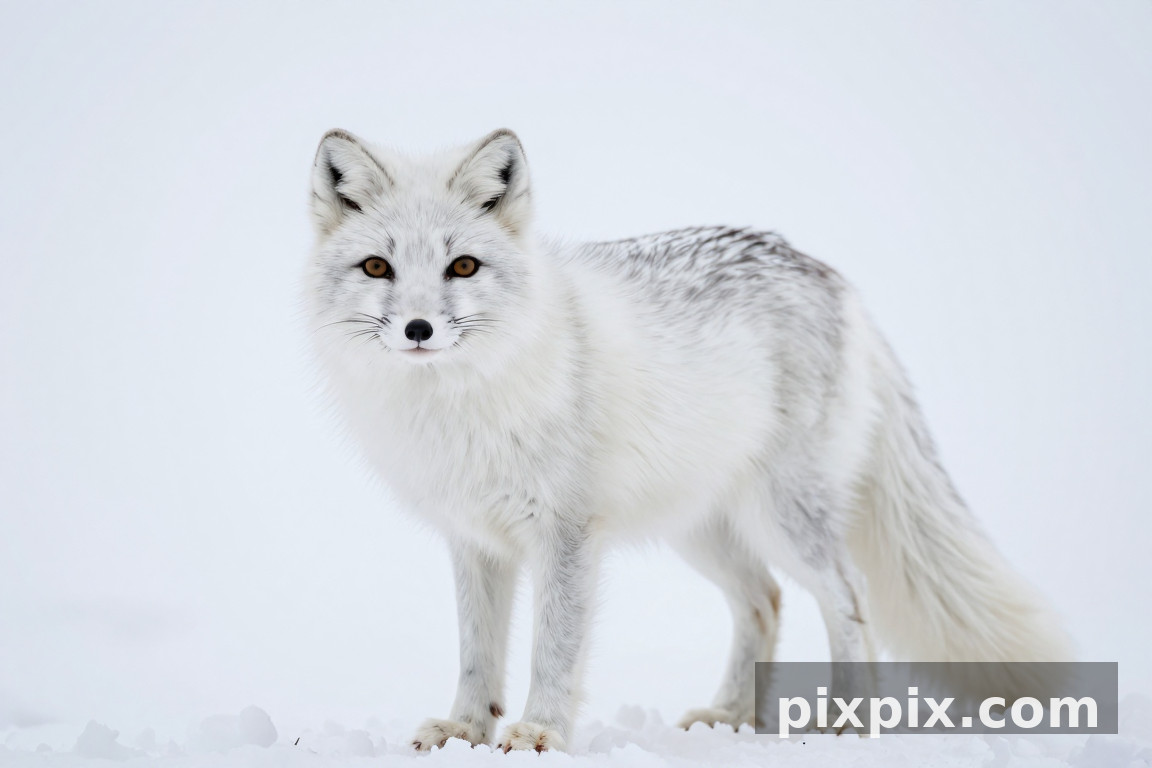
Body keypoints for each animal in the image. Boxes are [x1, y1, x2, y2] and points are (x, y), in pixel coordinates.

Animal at [303, 128, 1070, 753]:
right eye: (377, 268)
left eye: (462, 267)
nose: (419, 330)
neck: (463, 404)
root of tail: (827, 275)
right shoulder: (475, 540)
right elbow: (476, 653)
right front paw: (465, 730)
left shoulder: (565, 534)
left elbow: (554, 649)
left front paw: (540, 732)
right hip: (702, 532)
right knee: (765, 600)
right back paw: (731, 717)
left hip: (783, 516)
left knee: (848, 595)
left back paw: (848, 722)